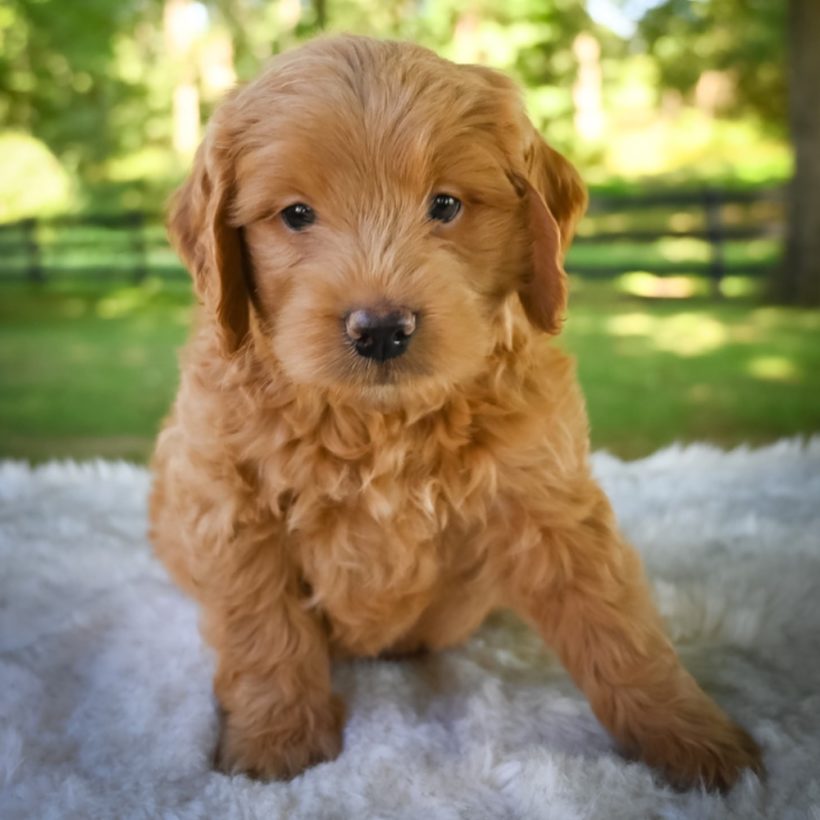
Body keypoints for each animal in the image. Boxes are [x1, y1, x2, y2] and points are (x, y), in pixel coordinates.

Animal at [151, 35, 764, 792]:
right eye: (295, 215)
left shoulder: (551, 503)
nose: (382, 330)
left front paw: (694, 739)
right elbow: (264, 629)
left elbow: (618, 628)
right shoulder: (229, 506)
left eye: (445, 205)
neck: (380, 422)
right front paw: (275, 742)